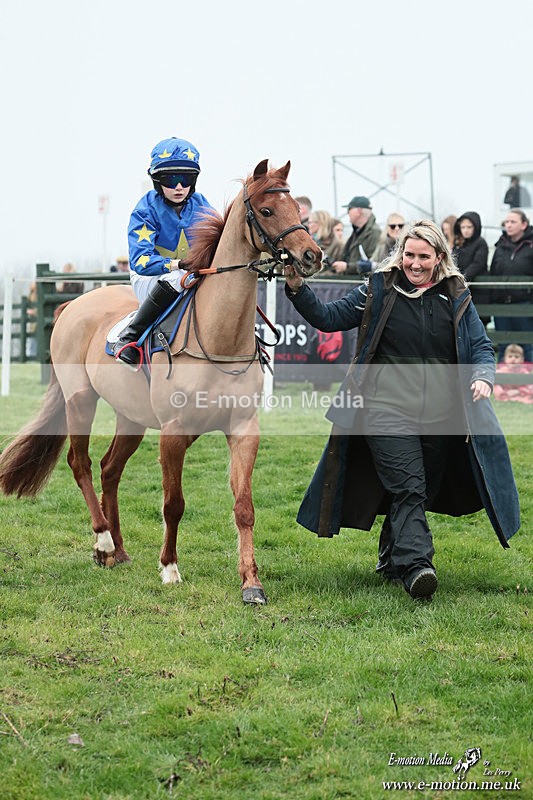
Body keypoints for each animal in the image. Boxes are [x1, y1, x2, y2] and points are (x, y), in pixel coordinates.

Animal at [0, 159, 322, 604]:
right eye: (267, 210)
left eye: (298, 208)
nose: (312, 255)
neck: (218, 336)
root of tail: (70, 305)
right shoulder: (173, 432)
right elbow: (174, 503)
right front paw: (170, 567)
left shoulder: (243, 429)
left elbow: (244, 507)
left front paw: (251, 583)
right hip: (80, 401)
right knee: (80, 463)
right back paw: (102, 539)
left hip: (131, 417)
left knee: (109, 469)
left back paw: (116, 551)